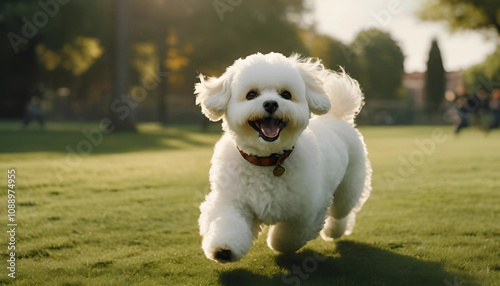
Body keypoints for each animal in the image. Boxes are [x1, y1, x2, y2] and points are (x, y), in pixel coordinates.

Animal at [195, 52, 372, 262]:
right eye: (251, 94)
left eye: (286, 94)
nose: (271, 103)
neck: (267, 160)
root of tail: (337, 117)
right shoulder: (231, 200)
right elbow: (227, 223)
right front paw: (224, 249)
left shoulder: (306, 212)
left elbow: (287, 237)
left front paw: (277, 245)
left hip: (349, 187)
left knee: (342, 213)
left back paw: (334, 231)